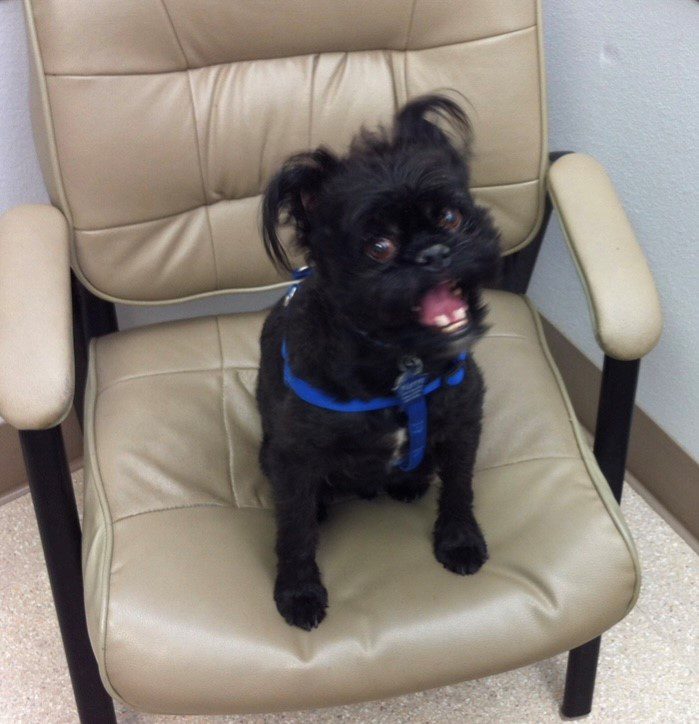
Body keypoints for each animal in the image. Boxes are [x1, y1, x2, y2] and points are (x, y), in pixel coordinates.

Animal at [258, 94, 504, 628]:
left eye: (450, 218)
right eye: (379, 247)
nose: (435, 253)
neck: (402, 364)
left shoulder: (463, 421)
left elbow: (459, 488)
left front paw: (459, 540)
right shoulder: (294, 458)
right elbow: (295, 531)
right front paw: (298, 592)